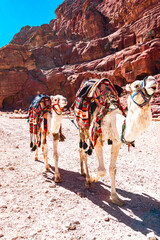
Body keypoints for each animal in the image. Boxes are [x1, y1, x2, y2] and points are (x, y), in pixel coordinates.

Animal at [76, 76, 158, 205]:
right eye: (136, 85)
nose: (152, 80)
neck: (115, 121)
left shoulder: (117, 141)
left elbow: (112, 169)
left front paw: (115, 197)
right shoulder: (97, 138)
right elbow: (102, 170)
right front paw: (93, 178)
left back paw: (84, 173)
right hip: (82, 127)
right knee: (83, 151)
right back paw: (87, 178)